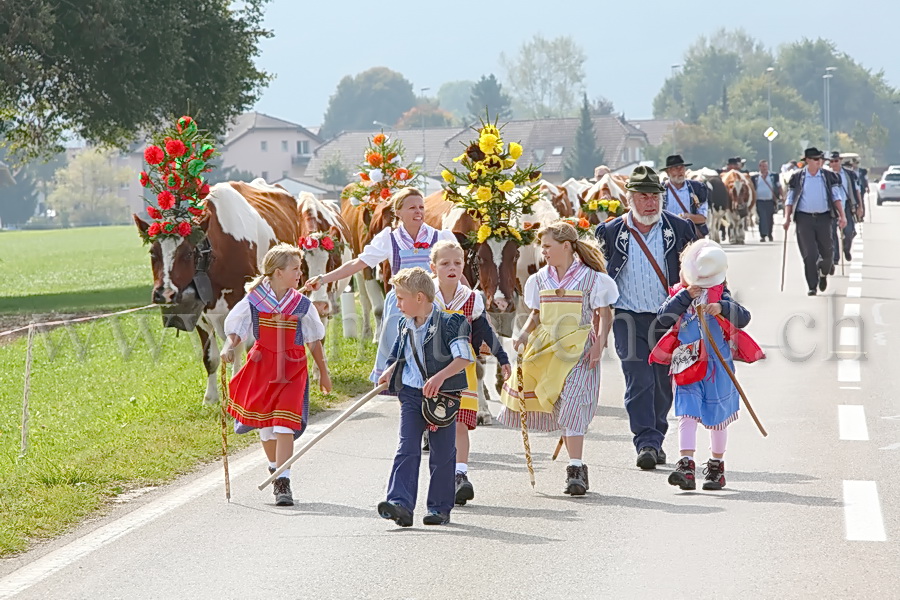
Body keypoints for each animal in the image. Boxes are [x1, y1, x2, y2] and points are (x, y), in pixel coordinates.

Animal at [134, 178, 302, 404]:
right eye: (153, 253)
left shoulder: (241, 304)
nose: (165, 294)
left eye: (188, 253)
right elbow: (211, 356)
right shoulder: (199, 311)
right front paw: (210, 397)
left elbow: (239, 347)